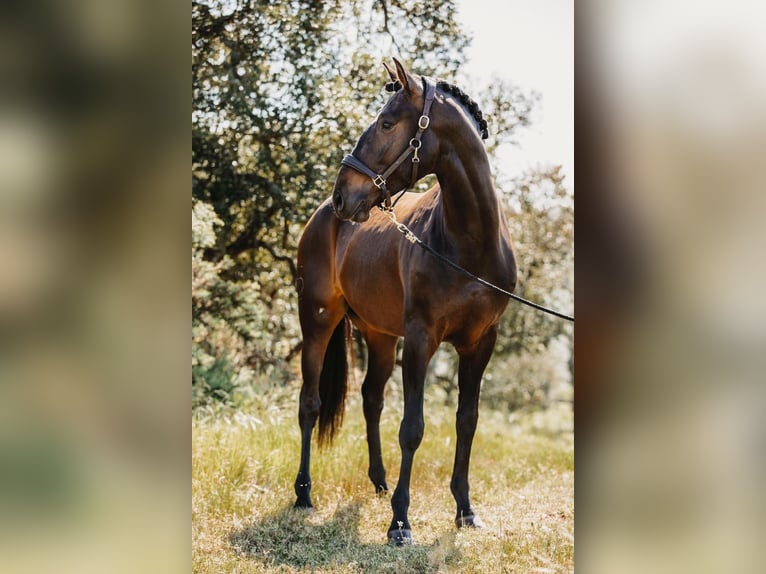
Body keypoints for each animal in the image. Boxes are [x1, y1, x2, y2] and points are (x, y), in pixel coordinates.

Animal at [292, 58, 516, 548]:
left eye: (386, 122)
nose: (343, 194)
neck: (470, 243)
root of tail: (322, 217)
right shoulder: (419, 339)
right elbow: (412, 428)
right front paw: (400, 522)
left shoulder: (481, 343)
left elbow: (467, 420)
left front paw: (465, 510)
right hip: (317, 321)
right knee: (310, 404)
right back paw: (303, 493)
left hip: (378, 336)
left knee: (371, 399)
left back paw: (378, 481)